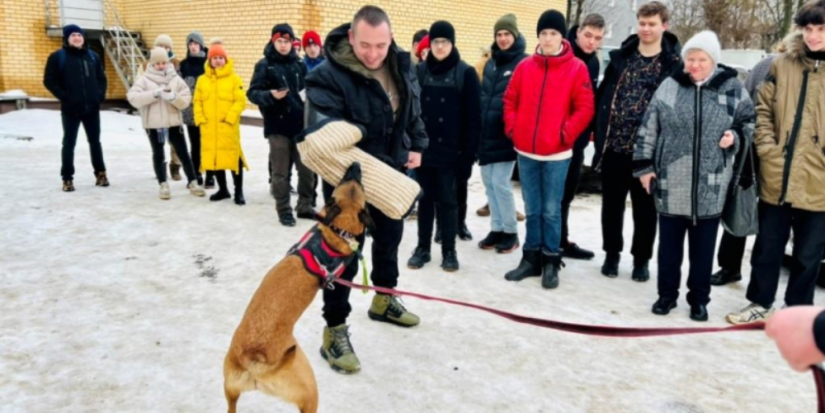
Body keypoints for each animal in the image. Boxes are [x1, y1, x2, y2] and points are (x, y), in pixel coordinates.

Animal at [222, 163, 370, 410]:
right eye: (350, 180)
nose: (356, 165)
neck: (335, 234)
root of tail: (255, 362)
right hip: (309, 388)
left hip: (230, 390)